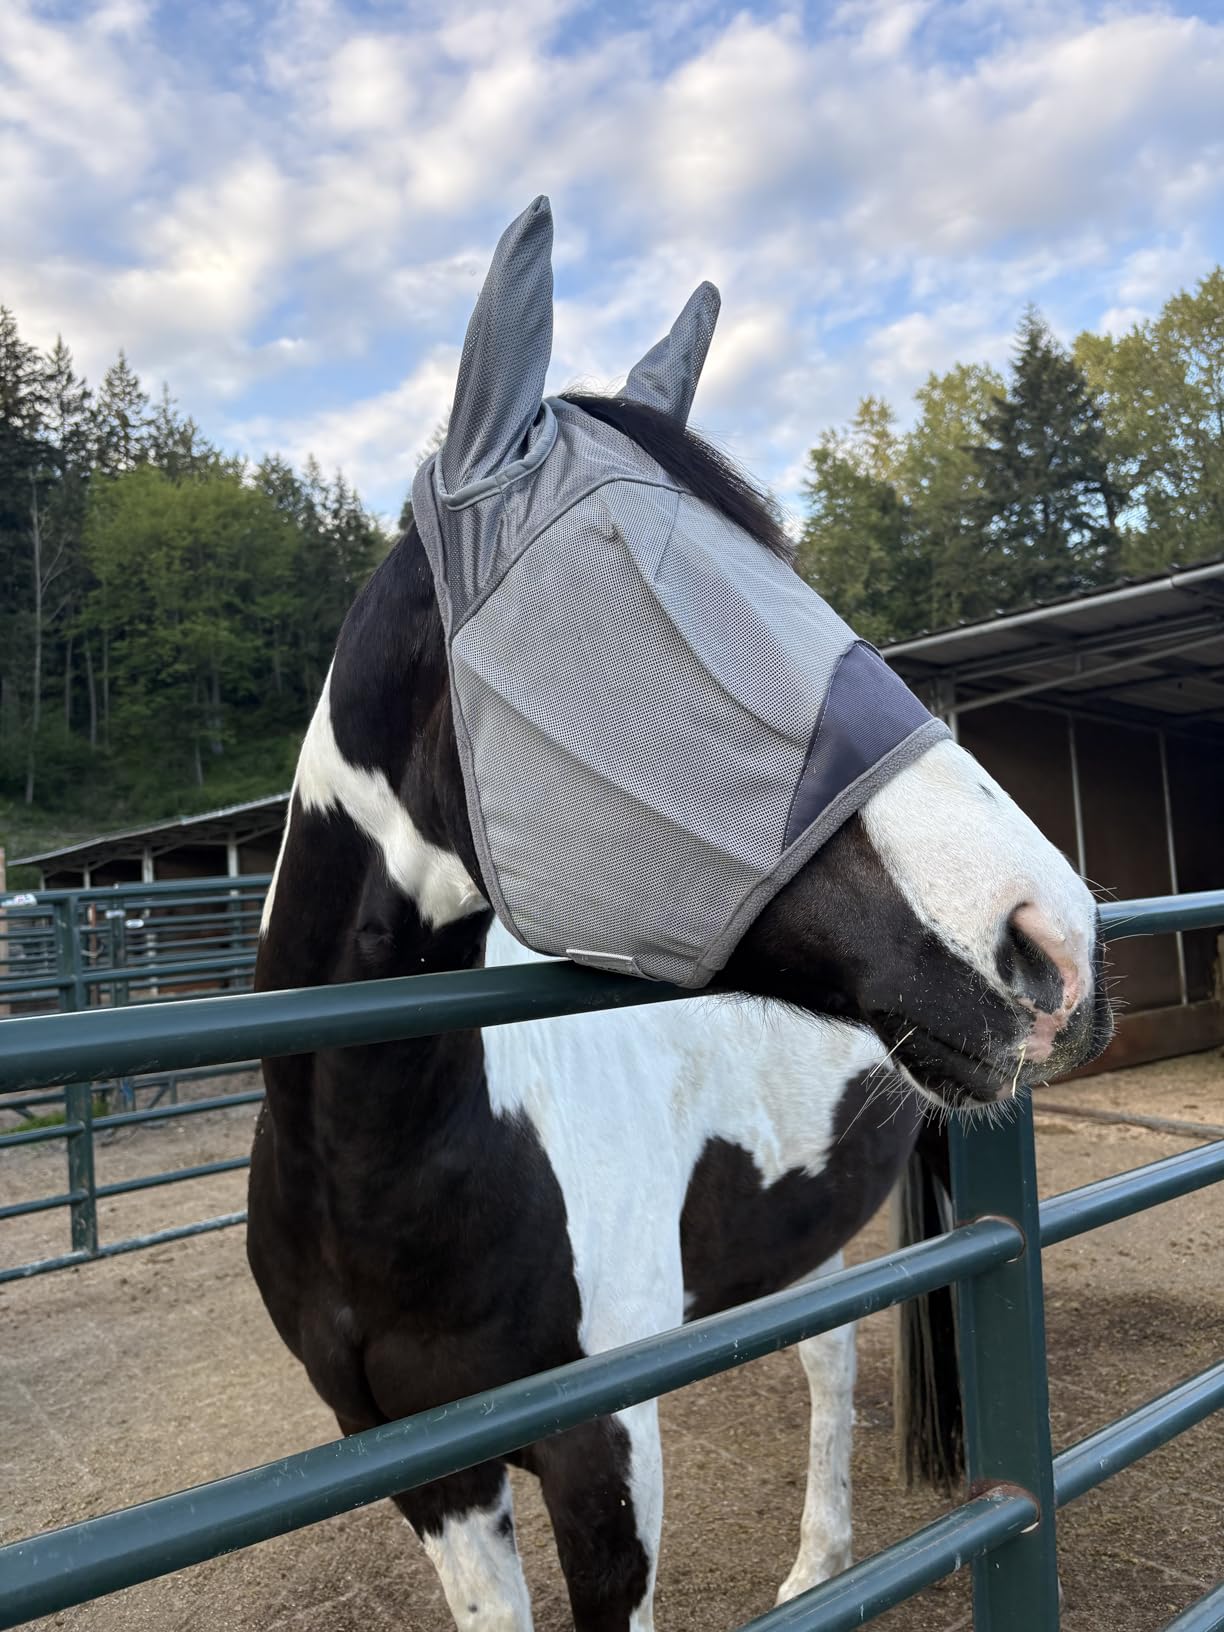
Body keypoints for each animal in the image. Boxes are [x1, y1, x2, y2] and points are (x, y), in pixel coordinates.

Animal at [249, 205, 1111, 1632]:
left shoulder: (603, 1446)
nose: (1054, 937)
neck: (387, 1161)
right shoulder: (429, 1474)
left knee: (832, 1371)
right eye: (638, 584)